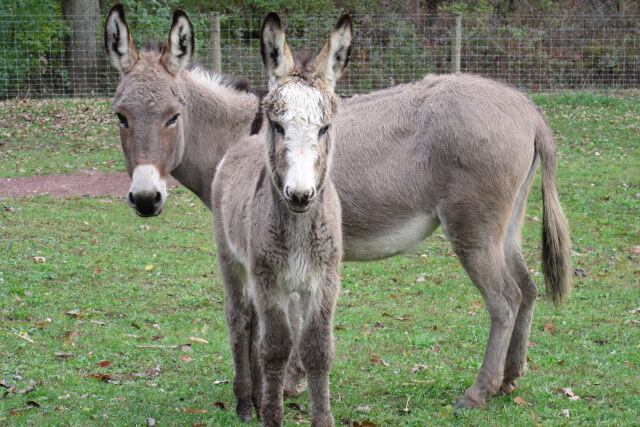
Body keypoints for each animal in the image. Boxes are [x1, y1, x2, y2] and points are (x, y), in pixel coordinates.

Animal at [212, 14, 352, 427]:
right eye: (278, 126)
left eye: (324, 128)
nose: (300, 195)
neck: (300, 229)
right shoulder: (267, 277)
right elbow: (275, 347)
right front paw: (270, 415)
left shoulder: (323, 280)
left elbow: (316, 349)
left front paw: (320, 418)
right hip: (233, 260)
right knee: (241, 320)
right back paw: (246, 401)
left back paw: (258, 397)